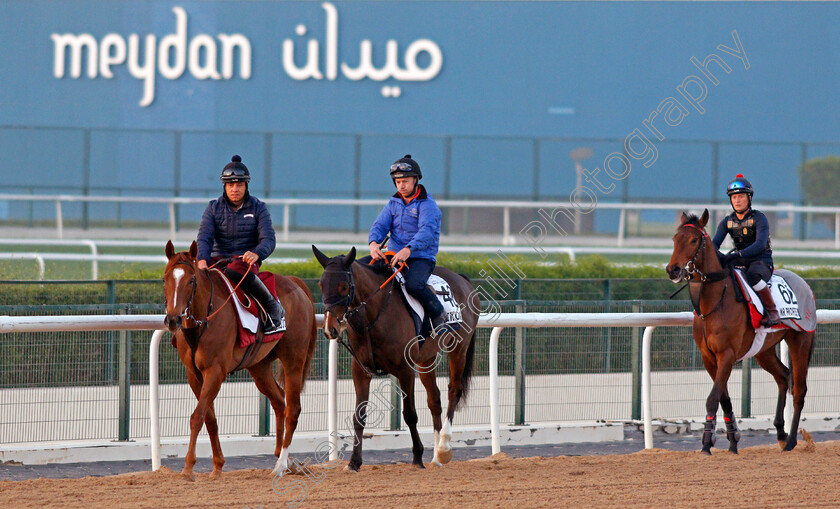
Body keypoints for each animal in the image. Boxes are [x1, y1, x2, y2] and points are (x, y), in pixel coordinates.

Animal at [162, 240, 316, 478]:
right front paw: (217, 466)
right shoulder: (193, 374)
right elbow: (209, 418)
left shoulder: (216, 371)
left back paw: (281, 464)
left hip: (294, 359)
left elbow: (197, 416)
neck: (203, 320)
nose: (173, 319)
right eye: (165, 279)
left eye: (191, 280)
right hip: (260, 367)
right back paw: (285, 459)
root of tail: (297, 283)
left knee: (292, 409)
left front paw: (188, 467)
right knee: (279, 401)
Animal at [312, 244, 480, 470]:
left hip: (459, 348)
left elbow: (410, 414)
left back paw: (444, 447)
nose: (330, 329)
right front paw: (354, 462)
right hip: (426, 358)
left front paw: (417, 457)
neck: (374, 317)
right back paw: (436, 456)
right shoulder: (361, 370)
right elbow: (359, 416)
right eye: (321, 285)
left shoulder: (405, 369)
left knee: (454, 390)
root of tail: (463, 280)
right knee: (434, 399)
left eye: (344, 286)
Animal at [664, 210, 812, 452]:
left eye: (694, 240)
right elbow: (723, 398)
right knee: (782, 377)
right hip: (764, 350)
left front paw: (706, 443)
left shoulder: (727, 354)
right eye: (675, 239)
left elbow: (713, 398)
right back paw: (780, 432)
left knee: (799, 390)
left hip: (800, 340)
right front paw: (732, 440)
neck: (714, 303)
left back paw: (790, 441)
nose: (673, 269)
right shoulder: (709, 358)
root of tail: (805, 284)